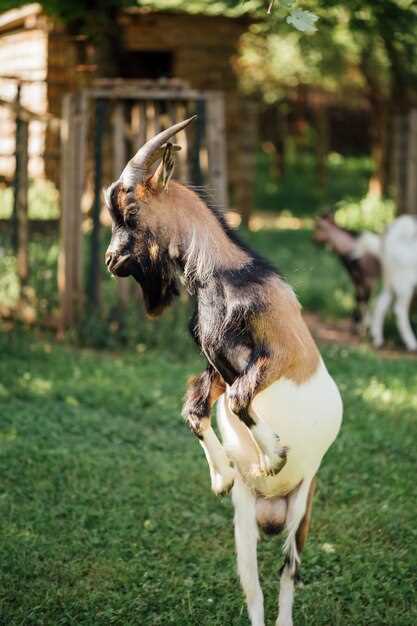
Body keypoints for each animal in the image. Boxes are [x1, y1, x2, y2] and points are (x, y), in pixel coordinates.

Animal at [103, 118, 342, 624]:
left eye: (130, 209)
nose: (111, 260)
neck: (225, 277)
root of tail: (272, 516)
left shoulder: (284, 350)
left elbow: (237, 398)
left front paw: (273, 456)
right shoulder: (214, 360)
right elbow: (197, 410)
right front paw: (223, 475)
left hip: (303, 506)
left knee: (288, 572)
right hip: (245, 520)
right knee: (253, 587)